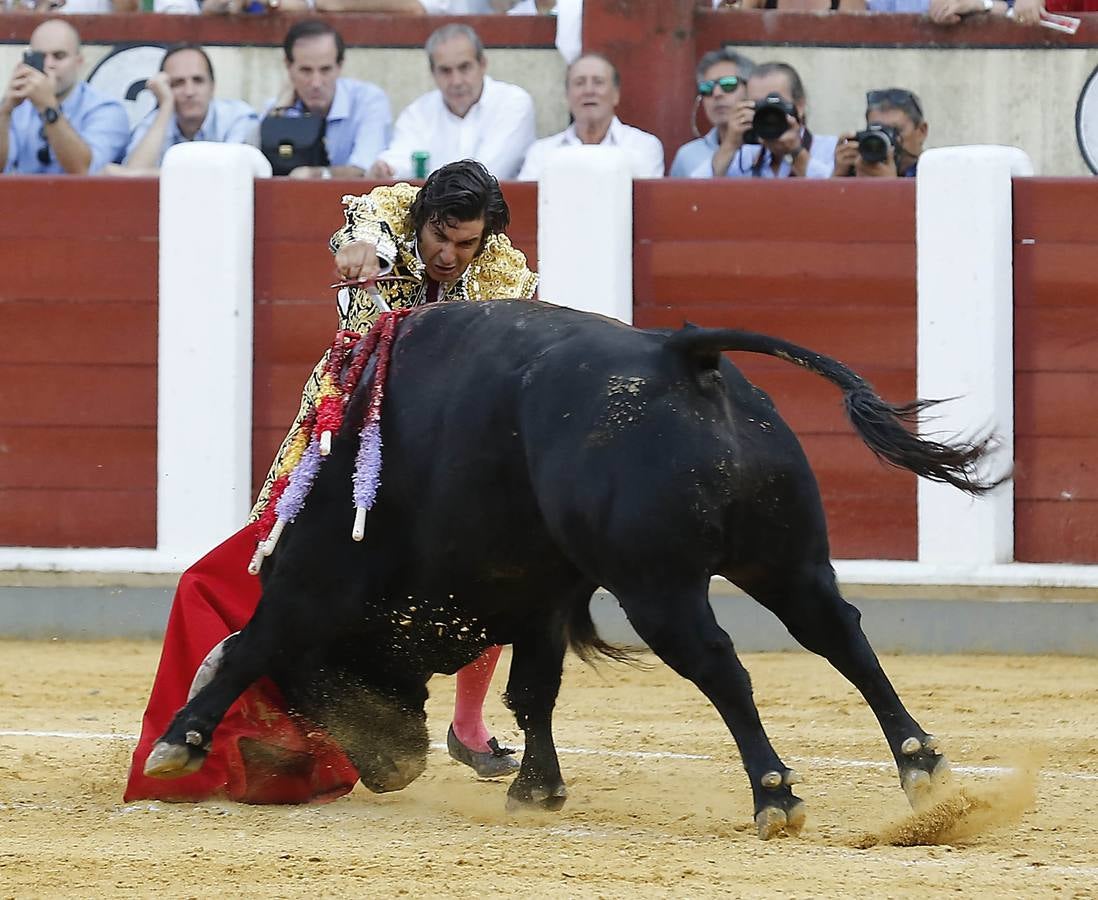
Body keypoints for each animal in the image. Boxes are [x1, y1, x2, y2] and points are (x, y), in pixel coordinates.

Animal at [146, 298, 996, 838]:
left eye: (311, 690)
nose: (394, 770)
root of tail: (680, 354)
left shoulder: (321, 583)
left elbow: (253, 642)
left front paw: (177, 743)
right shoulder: (541, 598)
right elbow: (533, 692)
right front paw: (537, 791)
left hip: (658, 586)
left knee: (722, 666)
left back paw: (774, 797)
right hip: (786, 558)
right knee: (840, 635)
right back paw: (923, 770)